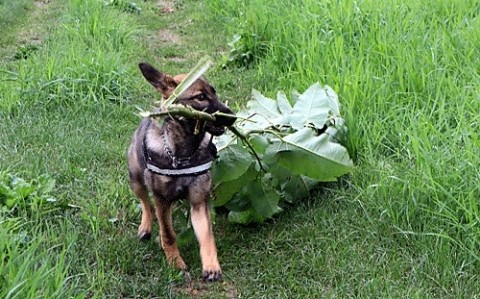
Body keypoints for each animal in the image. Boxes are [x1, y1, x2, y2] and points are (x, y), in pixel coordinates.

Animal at [125, 62, 234, 282]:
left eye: (214, 93)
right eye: (200, 97)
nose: (233, 118)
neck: (183, 154)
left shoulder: (199, 201)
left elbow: (207, 235)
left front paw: (211, 265)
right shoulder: (162, 200)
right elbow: (168, 234)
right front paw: (175, 262)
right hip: (136, 180)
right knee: (145, 203)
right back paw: (145, 226)